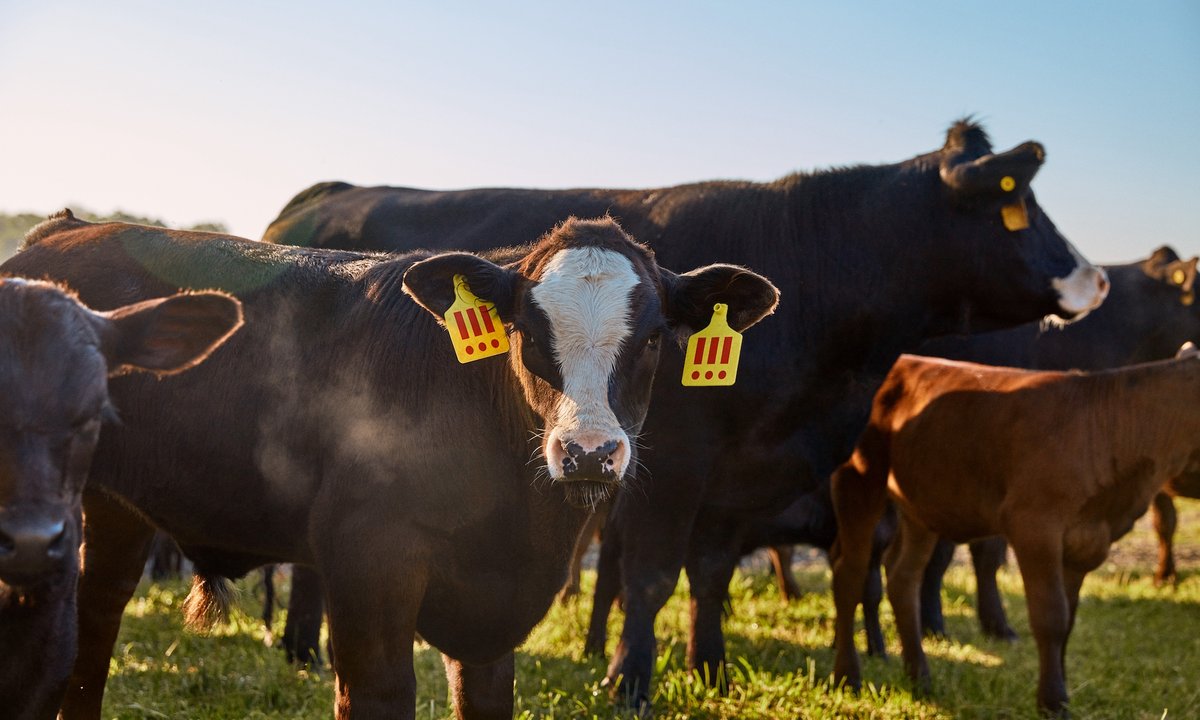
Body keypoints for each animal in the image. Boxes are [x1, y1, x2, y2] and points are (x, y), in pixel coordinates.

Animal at [260, 119, 1109, 707]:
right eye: (1020, 207)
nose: (1096, 278)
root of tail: (323, 194)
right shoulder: (672, 465)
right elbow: (650, 576)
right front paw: (630, 681)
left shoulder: (736, 474)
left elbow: (710, 573)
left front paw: (711, 665)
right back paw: (303, 647)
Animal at [830, 353, 1200, 716]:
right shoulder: (1034, 526)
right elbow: (1051, 616)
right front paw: (1052, 701)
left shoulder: (1085, 541)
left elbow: (1068, 619)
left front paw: (1060, 692)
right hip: (858, 481)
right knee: (849, 575)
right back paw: (848, 678)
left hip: (919, 507)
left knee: (903, 577)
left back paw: (920, 677)